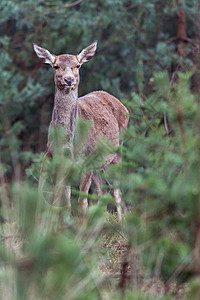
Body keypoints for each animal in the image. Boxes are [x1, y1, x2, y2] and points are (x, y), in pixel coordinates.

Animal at [33, 41, 129, 223]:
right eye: (56, 66)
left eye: (77, 65)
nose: (69, 79)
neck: (70, 143)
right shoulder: (56, 161)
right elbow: (63, 203)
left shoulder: (86, 162)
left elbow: (81, 201)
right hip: (99, 163)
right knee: (103, 188)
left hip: (117, 152)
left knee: (117, 189)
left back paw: (121, 223)